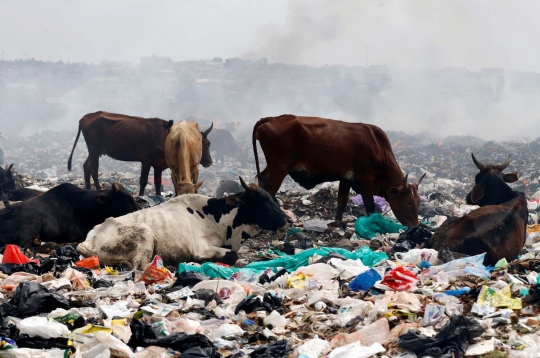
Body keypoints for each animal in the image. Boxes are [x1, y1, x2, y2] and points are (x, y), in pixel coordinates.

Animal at [76, 178, 292, 270]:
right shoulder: (201, 249)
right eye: (261, 200)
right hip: (144, 234)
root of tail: (88, 240)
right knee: (140, 267)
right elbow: (232, 255)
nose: (289, 220)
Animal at [253, 114, 426, 227]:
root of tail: (272, 118)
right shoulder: (365, 180)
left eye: (418, 202)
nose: (415, 226)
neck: (379, 148)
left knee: (261, 179)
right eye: (408, 202)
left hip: (274, 166)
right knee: (269, 188)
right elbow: (370, 206)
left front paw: (337, 223)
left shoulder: (346, 179)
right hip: (280, 167)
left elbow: (341, 202)